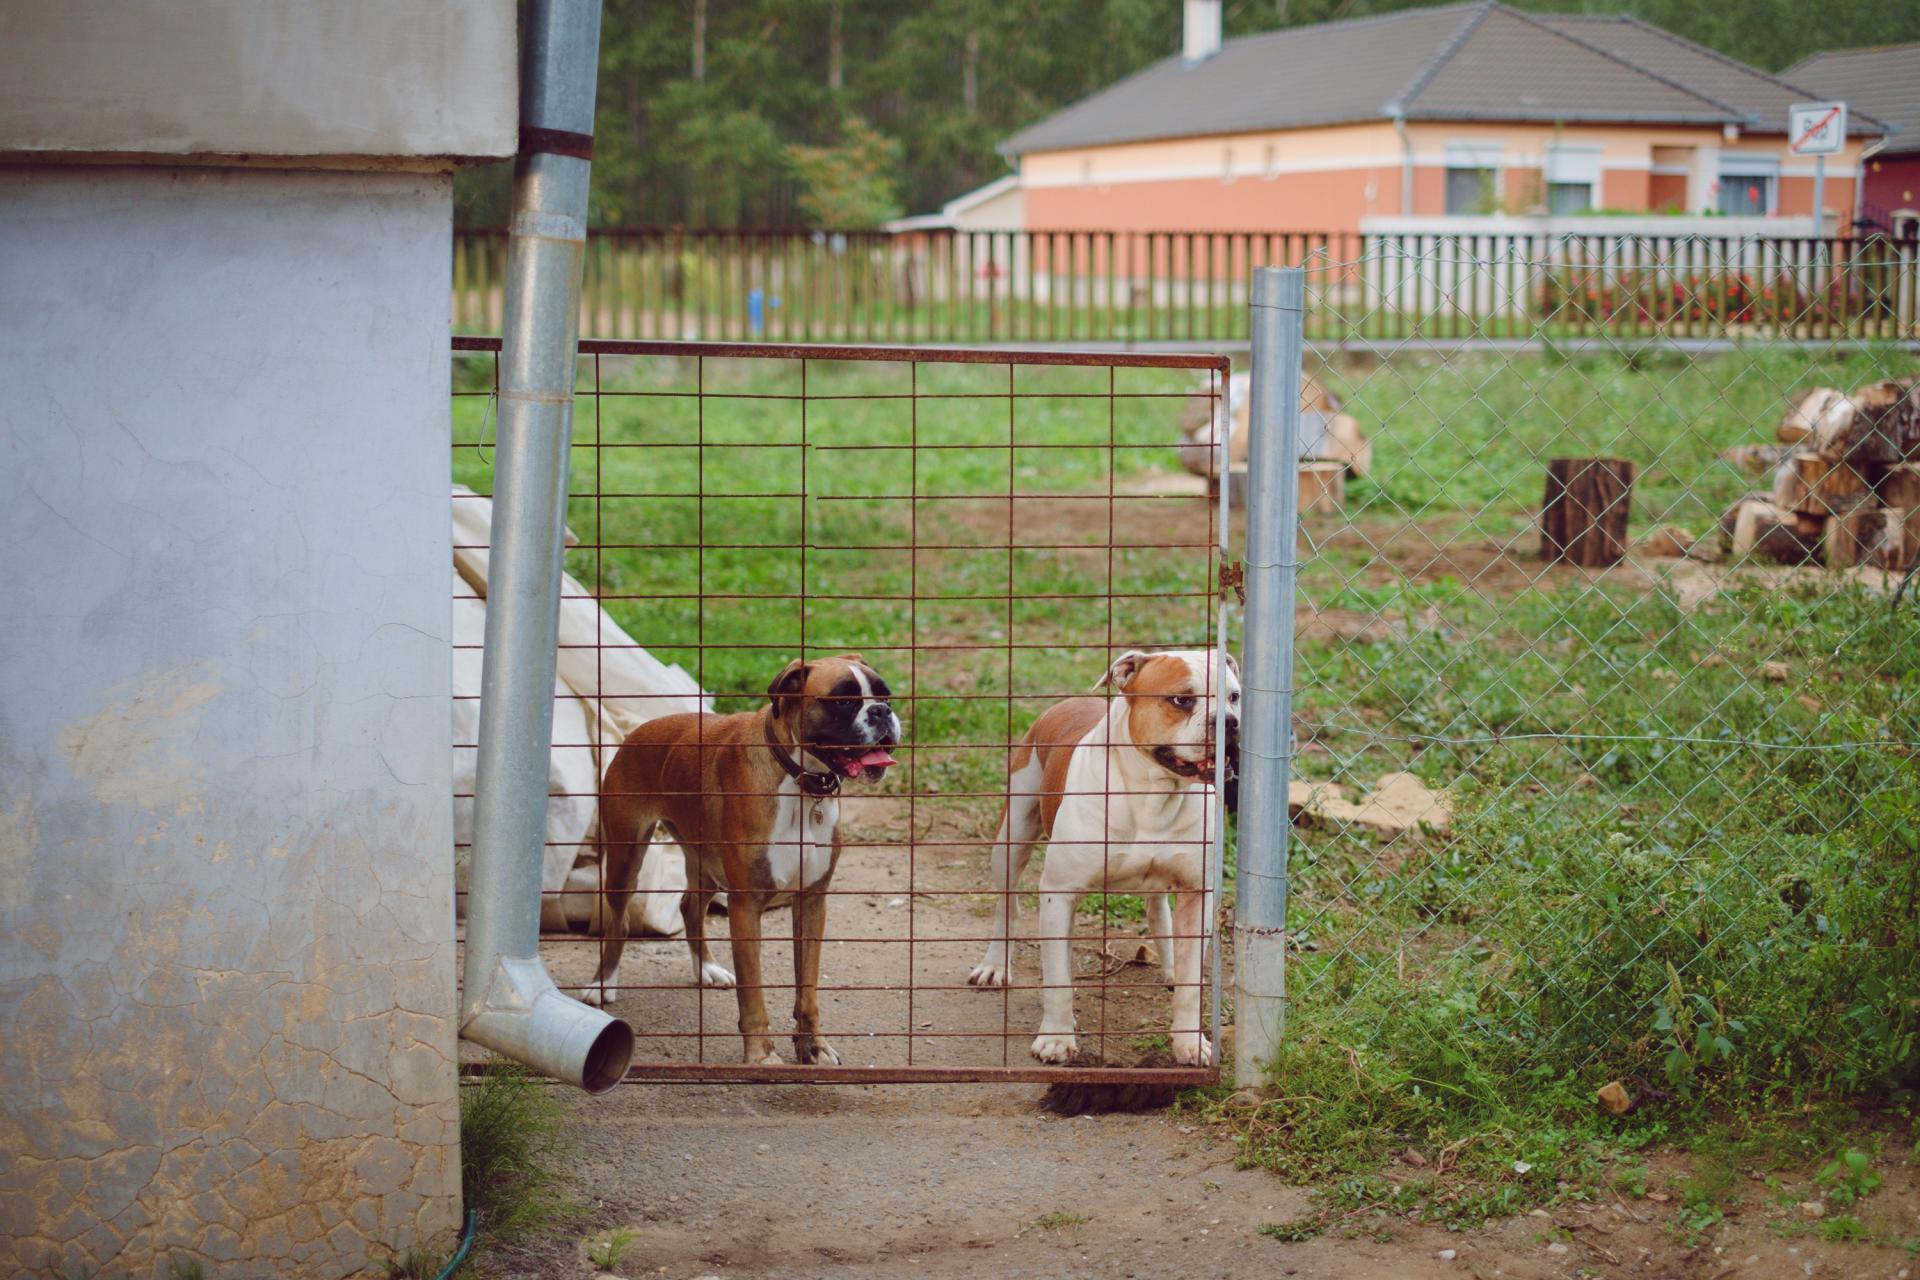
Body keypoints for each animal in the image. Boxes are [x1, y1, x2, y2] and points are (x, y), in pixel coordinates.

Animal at [587, 654, 899, 1065]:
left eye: (885, 695)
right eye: (843, 700)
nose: (882, 711)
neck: (801, 783)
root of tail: (641, 729)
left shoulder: (812, 902)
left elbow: (807, 988)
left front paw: (813, 1046)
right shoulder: (746, 906)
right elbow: (754, 994)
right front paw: (761, 1057)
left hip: (705, 865)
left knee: (689, 908)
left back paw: (707, 968)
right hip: (626, 858)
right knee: (619, 921)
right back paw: (601, 983)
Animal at [967, 649, 1239, 1067]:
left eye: (1235, 697)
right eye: (1181, 699)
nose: (1229, 722)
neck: (1152, 794)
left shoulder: (1197, 893)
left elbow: (1192, 982)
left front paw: (1189, 1041)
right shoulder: (1059, 892)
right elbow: (1058, 978)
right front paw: (1056, 1038)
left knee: (1158, 911)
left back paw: (1171, 964)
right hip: (1010, 839)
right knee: (1007, 907)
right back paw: (995, 965)